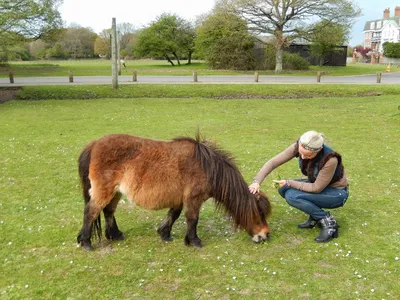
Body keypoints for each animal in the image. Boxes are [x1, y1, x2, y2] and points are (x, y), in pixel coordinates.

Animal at [77, 132, 272, 250]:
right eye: (259, 214)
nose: (266, 235)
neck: (207, 167)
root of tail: (95, 144)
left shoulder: (179, 198)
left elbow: (173, 215)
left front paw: (165, 234)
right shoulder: (193, 199)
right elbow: (192, 219)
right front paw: (194, 241)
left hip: (115, 193)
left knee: (108, 211)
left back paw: (115, 235)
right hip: (104, 191)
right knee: (90, 212)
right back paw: (86, 242)